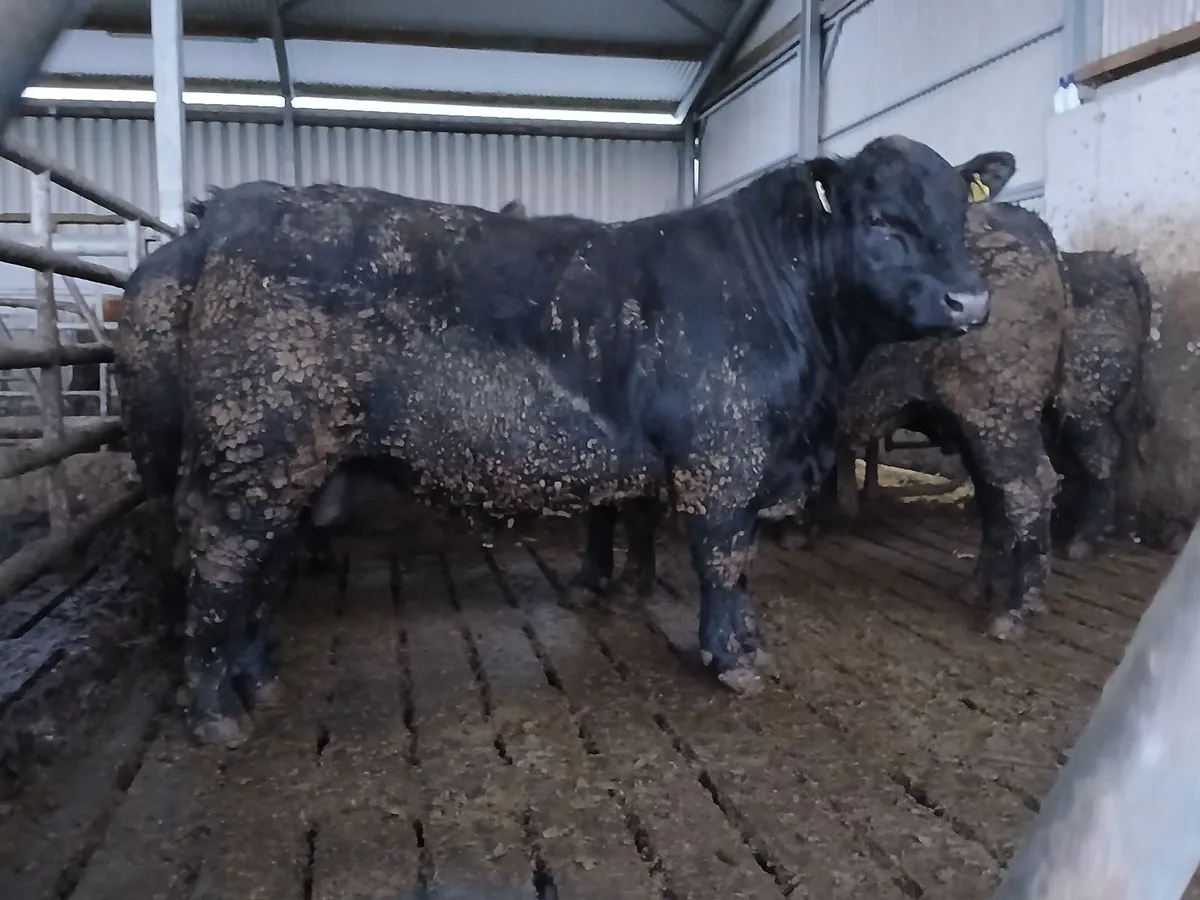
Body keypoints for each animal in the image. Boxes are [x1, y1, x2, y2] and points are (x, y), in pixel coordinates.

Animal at [115, 136, 1014, 747]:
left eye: (959, 211)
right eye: (884, 220)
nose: (970, 302)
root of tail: (235, 213)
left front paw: (747, 641)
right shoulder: (721, 459)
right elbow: (726, 558)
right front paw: (734, 659)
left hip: (289, 465)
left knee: (261, 562)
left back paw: (258, 679)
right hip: (254, 450)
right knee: (223, 558)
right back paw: (215, 711)